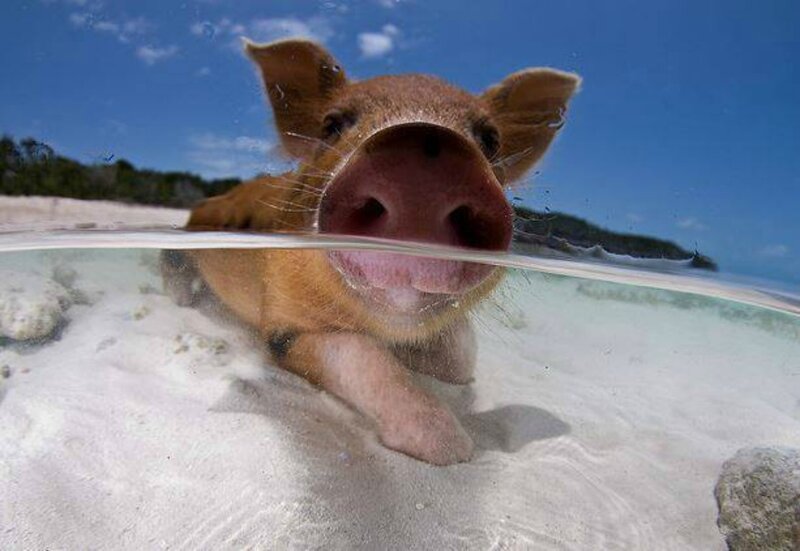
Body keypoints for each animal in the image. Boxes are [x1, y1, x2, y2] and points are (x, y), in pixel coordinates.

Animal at [162, 39, 579, 465]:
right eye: (332, 125)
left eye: (490, 139)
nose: (424, 146)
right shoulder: (282, 324)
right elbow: (362, 355)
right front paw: (458, 451)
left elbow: (461, 357)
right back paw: (182, 300)